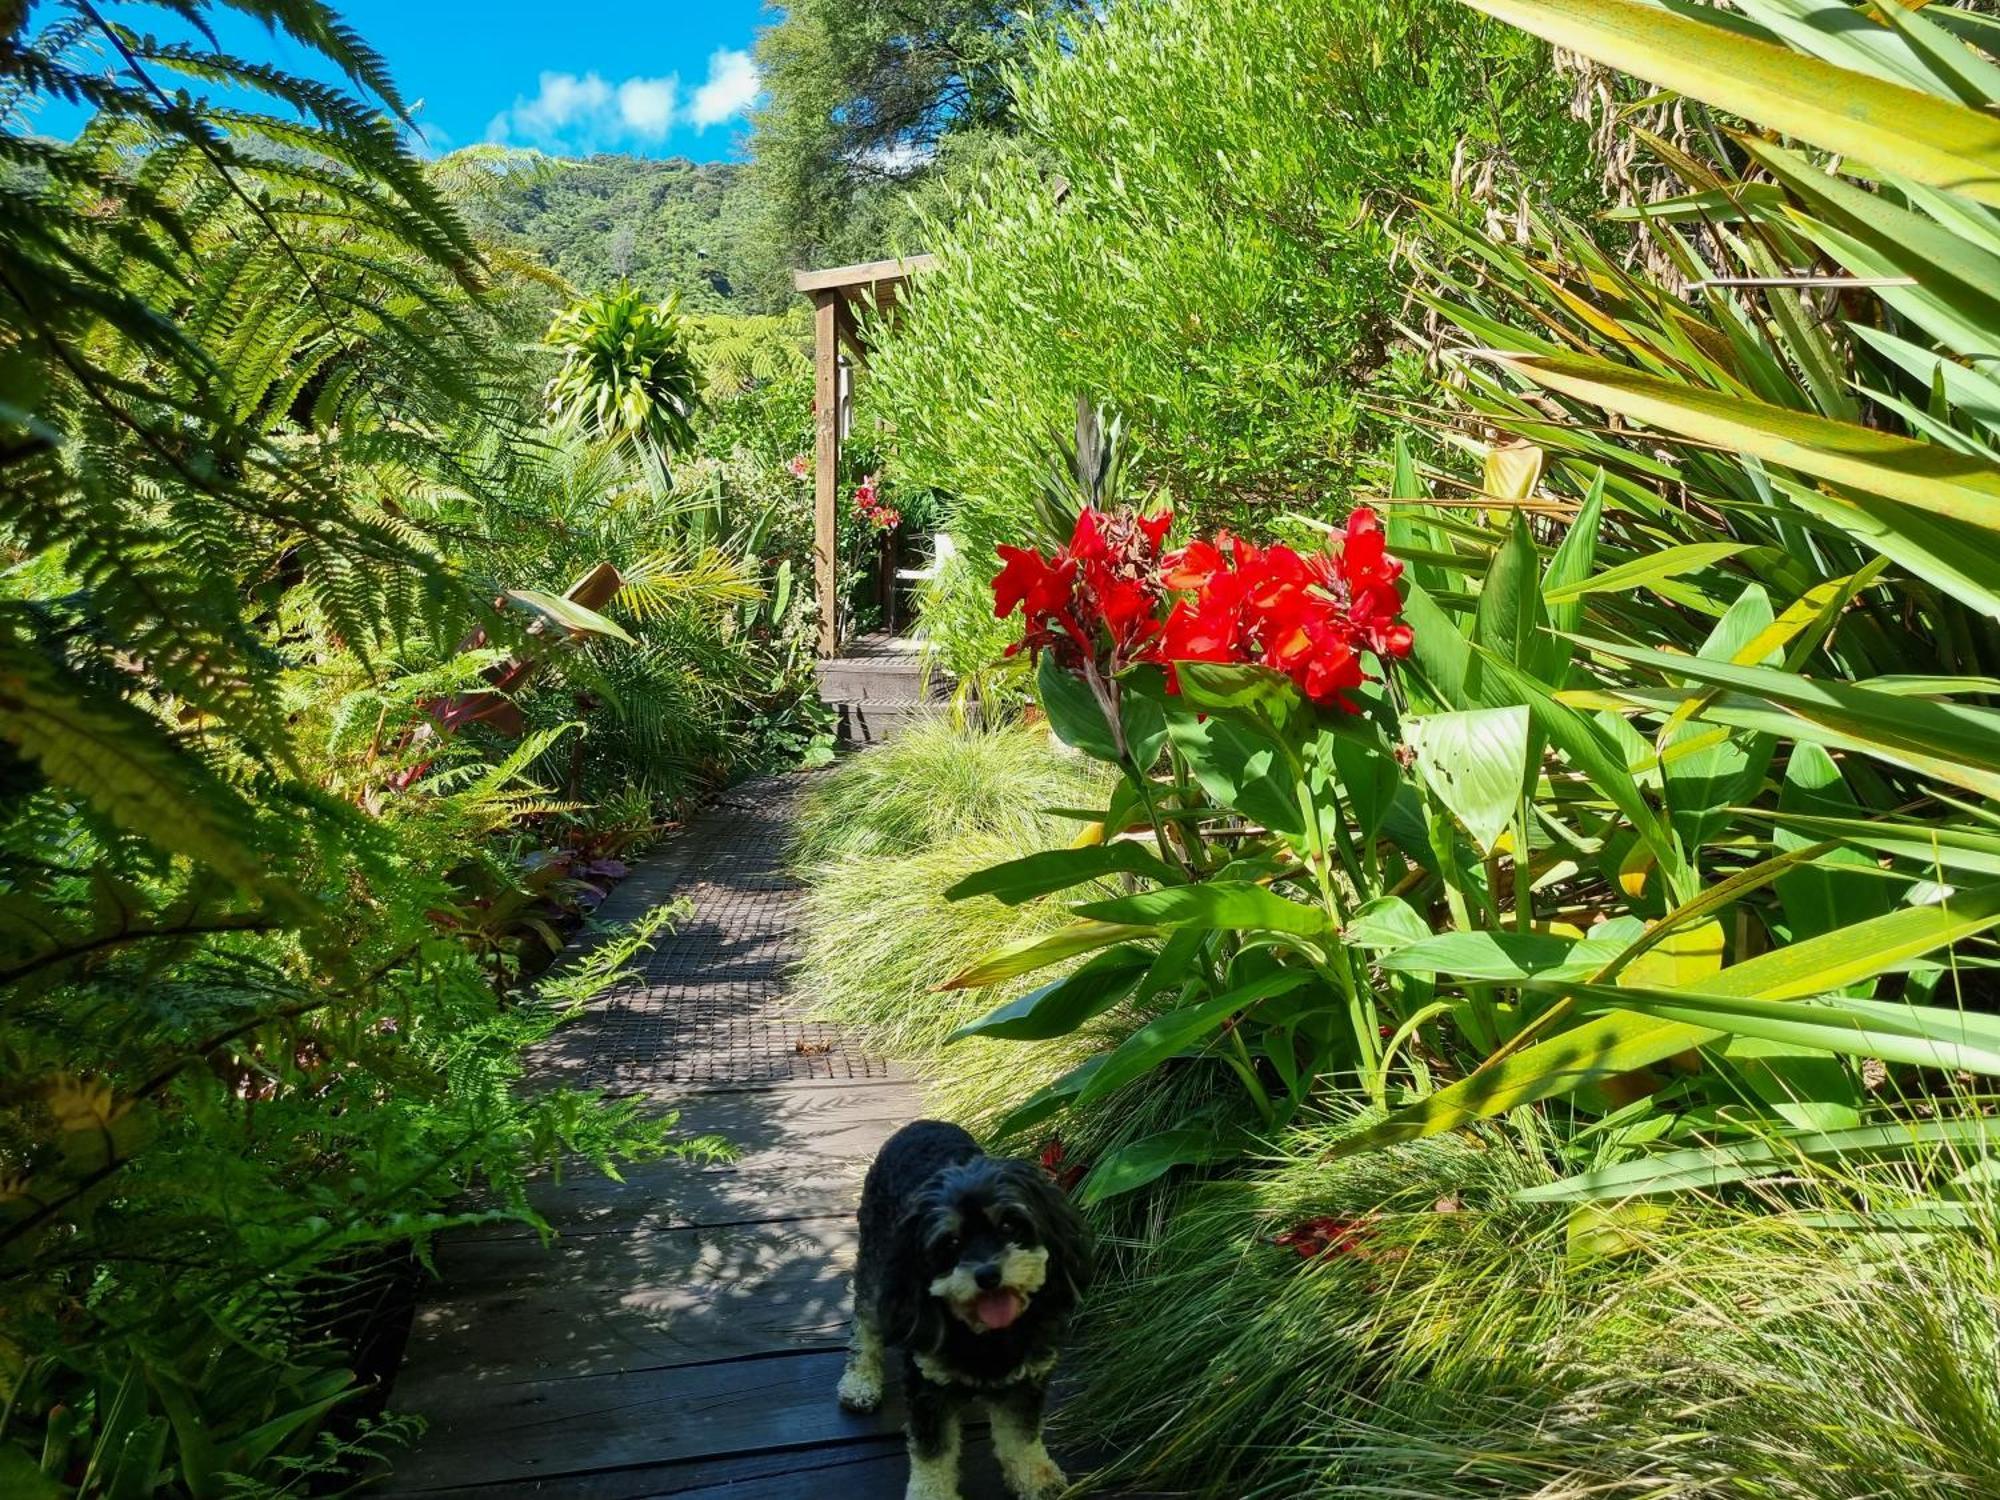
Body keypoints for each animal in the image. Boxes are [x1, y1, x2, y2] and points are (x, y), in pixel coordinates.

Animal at [844, 1120, 1096, 1496]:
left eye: (1009, 1225)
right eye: (950, 1242)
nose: (988, 1275)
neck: (986, 1337)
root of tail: (923, 1123)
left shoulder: (1026, 1379)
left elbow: (1021, 1436)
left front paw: (1036, 1478)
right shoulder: (928, 1387)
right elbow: (933, 1454)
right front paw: (931, 1494)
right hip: (876, 1264)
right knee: (866, 1323)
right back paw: (860, 1380)